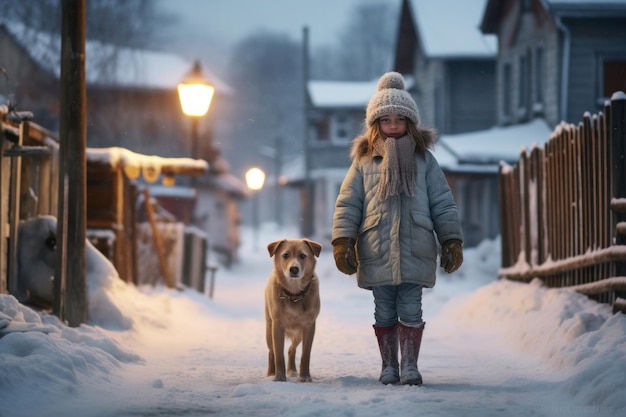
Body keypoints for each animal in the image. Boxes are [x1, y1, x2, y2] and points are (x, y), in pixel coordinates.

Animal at [264, 237, 322, 380]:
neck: (294, 294)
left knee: (291, 349)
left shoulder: (309, 326)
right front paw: (279, 378)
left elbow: (305, 355)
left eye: (302, 255)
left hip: (298, 333)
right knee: (271, 352)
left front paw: (305, 378)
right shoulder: (277, 326)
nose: (294, 269)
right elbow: (279, 355)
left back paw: (292, 371)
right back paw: (271, 373)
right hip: (269, 330)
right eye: (285, 255)